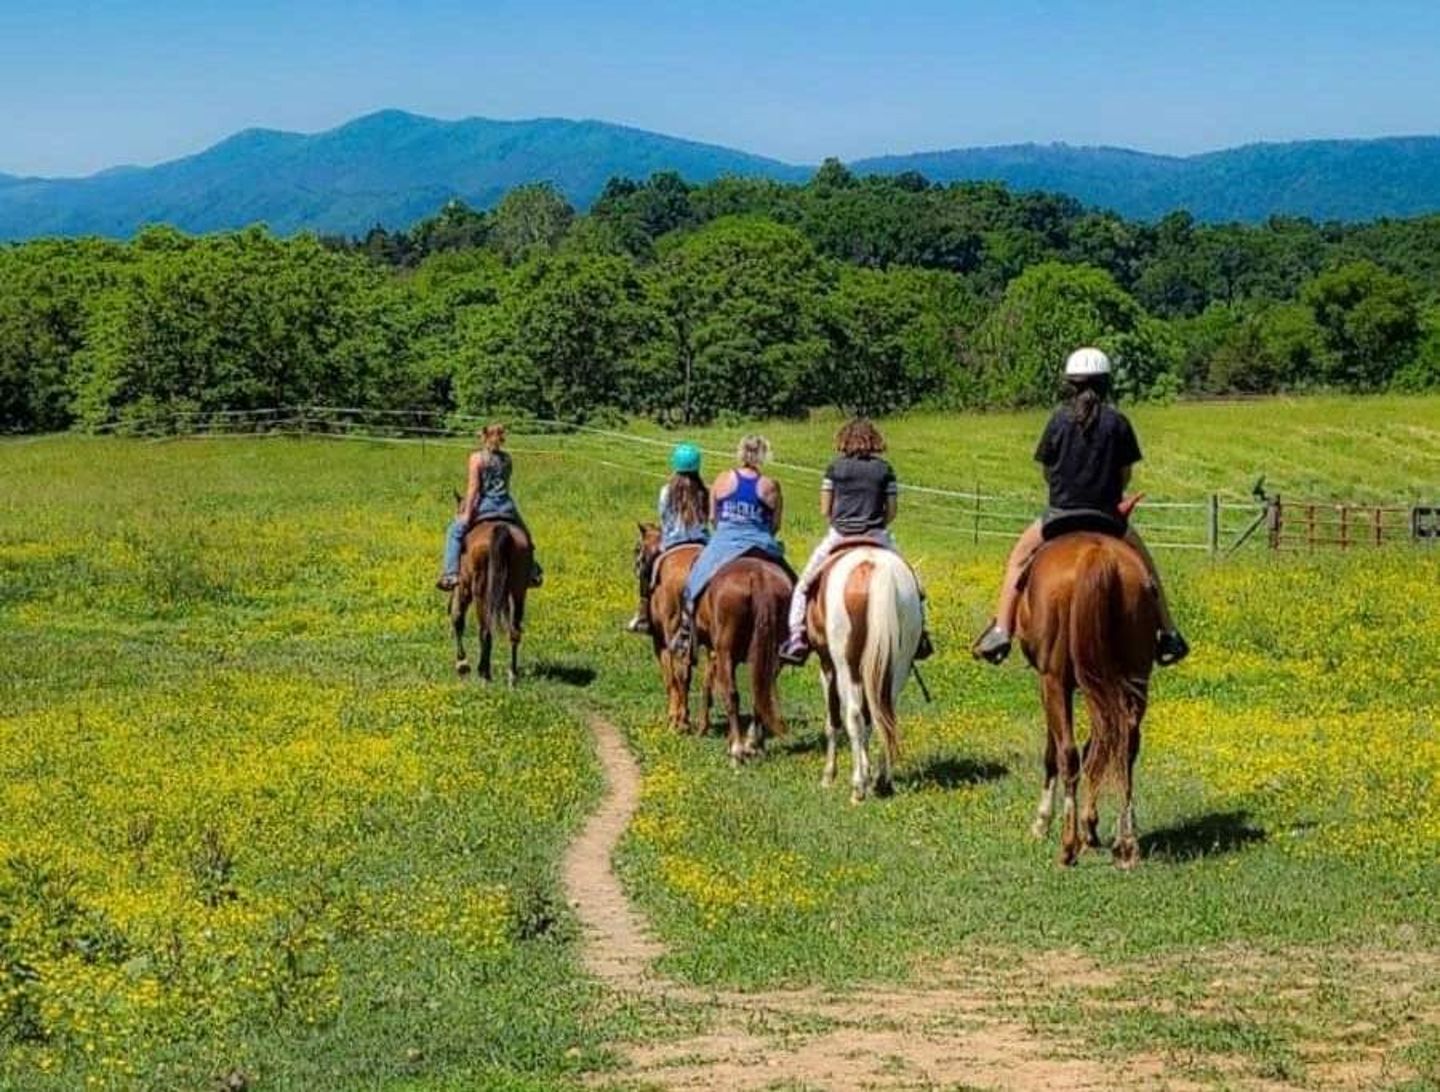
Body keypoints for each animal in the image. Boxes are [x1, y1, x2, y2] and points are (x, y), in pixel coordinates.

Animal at [450, 518, 534, 686]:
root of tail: (500, 529)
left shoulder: (463, 585)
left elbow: (458, 619)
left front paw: (462, 664)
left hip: (480, 591)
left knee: (485, 631)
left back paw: (484, 673)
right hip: (518, 590)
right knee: (514, 631)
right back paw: (512, 675)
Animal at [634, 523, 704, 731]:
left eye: (637, 549)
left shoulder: (660, 642)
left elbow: (669, 677)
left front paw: (672, 716)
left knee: (680, 673)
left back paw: (678, 722)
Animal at [690, 554, 792, 763]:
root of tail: (758, 577)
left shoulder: (717, 653)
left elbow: (710, 686)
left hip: (726, 652)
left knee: (732, 694)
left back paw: (737, 749)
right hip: (771, 657)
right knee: (760, 693)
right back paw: (754, 744)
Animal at [807, 546, 924, 803]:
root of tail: (874, 566)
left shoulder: (827, 666)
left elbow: (834, 721)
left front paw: (829, 775)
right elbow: (870, 721)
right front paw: (869, 772)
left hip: (846, 667)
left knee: (853, 716)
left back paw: (857, 787)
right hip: (897, 666)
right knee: (885, 716)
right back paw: (882, 782)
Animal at [1016, 531, 1158, 869]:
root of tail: (1097, 556)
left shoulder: (1051, 684)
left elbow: (1054, 752)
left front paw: (1042, 822)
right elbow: (1098, 748)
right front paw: (1091, 826)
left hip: (1056, 681)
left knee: (1068, 754)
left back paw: (1068, 847)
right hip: (1133, 680)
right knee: (1125, 745)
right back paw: (1126, 841)